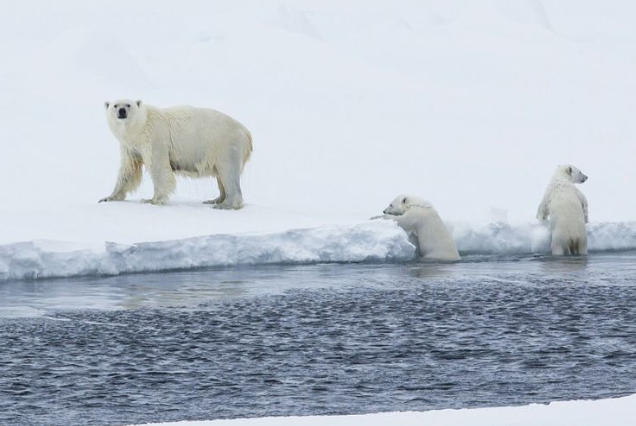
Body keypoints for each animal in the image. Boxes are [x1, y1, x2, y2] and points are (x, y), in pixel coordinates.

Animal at [99, 98, 251, 208]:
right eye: (115, 105)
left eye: (128, 104)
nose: (122, 111)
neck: (141, 127)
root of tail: (245, 131)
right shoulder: (131, 147)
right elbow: (128, 170)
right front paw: (108, 197)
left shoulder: (155, 137)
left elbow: (159, 167)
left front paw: (152, 200)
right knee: (221, 175)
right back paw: (215, 200)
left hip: (224, 144)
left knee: (228, 171)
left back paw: (225, 204)